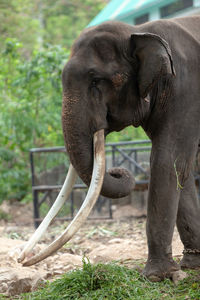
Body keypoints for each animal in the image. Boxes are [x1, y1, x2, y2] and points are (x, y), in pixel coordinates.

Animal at [18, 14, 200, 282]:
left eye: (96, 81)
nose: (20, 260)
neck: (138, 31)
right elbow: (180, 167)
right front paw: (190, 267)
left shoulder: (186, 90)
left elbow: (167, 159)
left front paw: (156, 277)